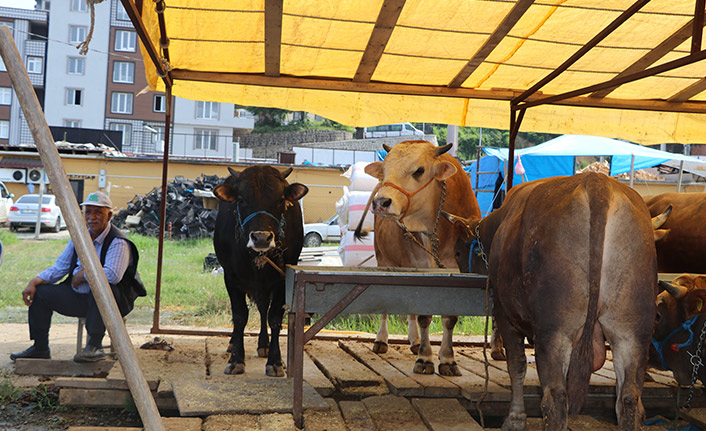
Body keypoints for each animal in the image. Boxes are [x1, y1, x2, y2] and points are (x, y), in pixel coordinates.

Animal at [212, 166, 306, 378]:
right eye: (241, 199)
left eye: (280, 199)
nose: (261, 238)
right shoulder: (231, 278)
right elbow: (239, 316)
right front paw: (236, 360)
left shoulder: (282, 280)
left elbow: (275, 318)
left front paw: (275, 361)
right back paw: (234, 343)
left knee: (263, 309)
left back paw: (264, 344)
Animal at [354, 141, 482, 374]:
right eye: (384, 169)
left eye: (419, 170)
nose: (381, 202)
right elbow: (424, 315)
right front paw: (425, 358)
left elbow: (449, 318)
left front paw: (447, 359)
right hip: (384, 260)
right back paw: (382, 340)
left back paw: (414, 341)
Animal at [446, 175, 656, 431]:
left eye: (457, 252)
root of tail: (597, 183)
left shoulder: (505, 314)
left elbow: (516, 365)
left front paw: (515, 419)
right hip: (631, 330)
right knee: (628, 398)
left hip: (554, 329)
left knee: (554, 399)